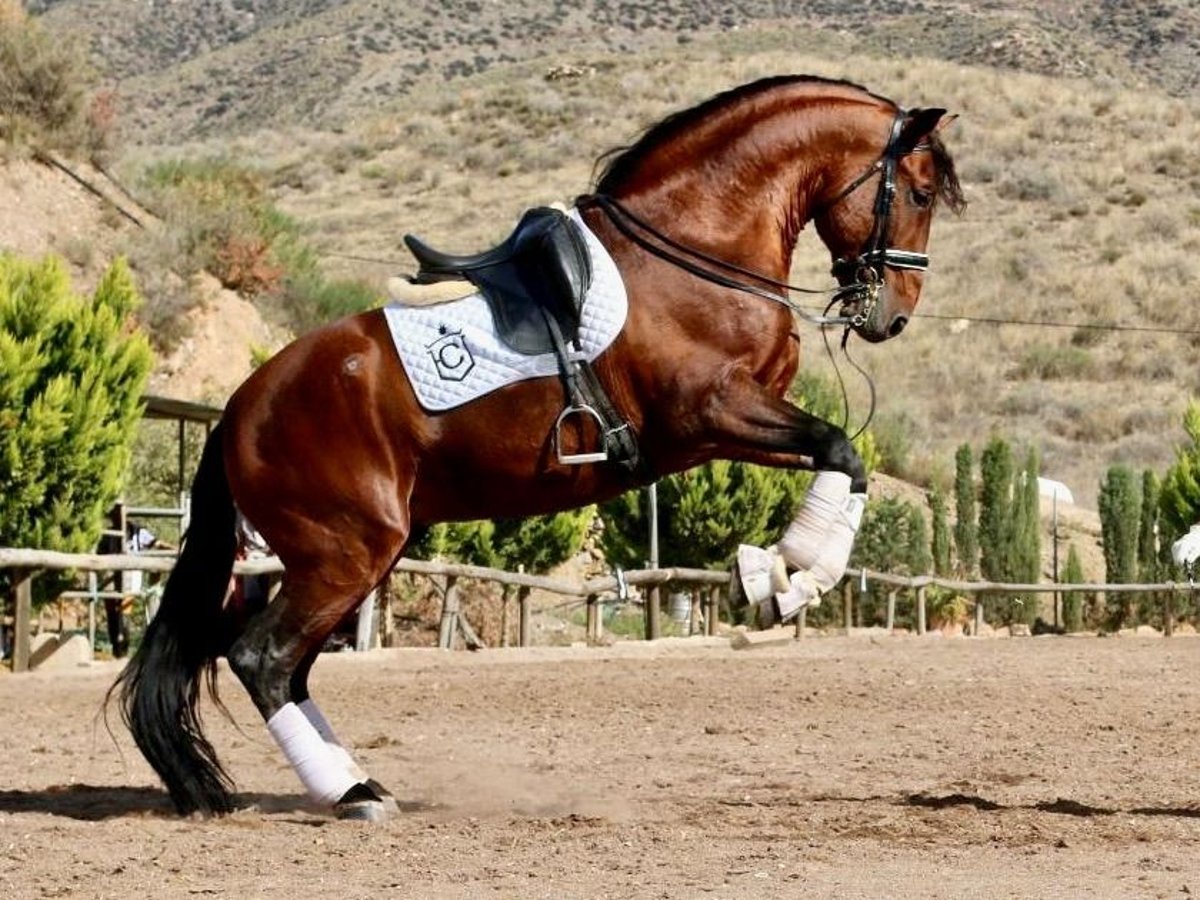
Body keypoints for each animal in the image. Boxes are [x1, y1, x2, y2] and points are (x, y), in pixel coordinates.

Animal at [112, 75, 964, 825]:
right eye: (920, 193)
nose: (892, 316)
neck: (694, 247)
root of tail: (238, 409)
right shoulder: (711, 413)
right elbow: (841, 451)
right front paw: (783, 578)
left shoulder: (727, 429)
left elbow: (844, 463)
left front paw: (779, 573)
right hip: (344, 553)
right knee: (262, 659)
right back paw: (351, 794)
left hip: (356, 556)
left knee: (287, 666)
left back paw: (359, 784)